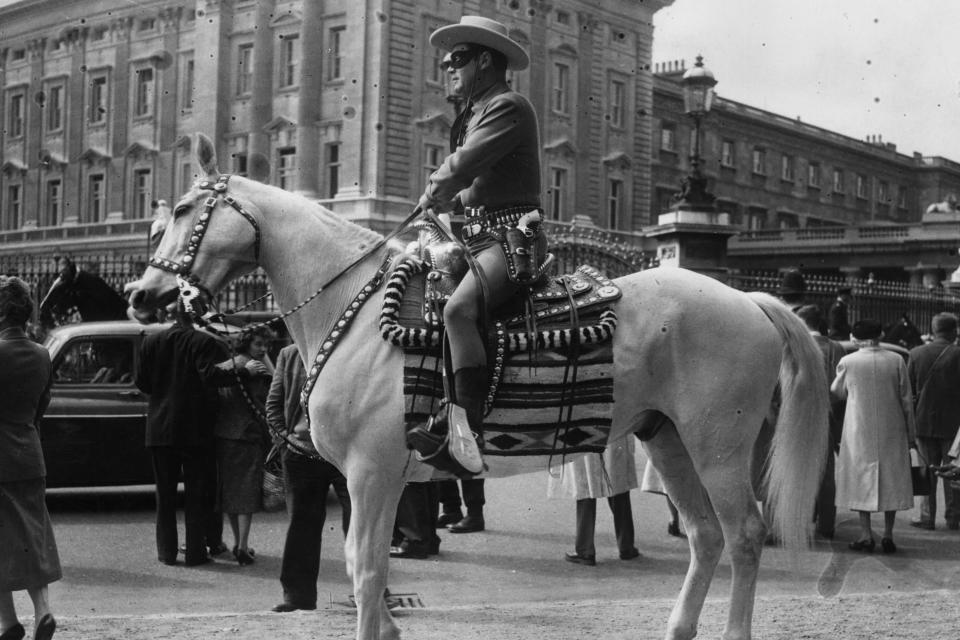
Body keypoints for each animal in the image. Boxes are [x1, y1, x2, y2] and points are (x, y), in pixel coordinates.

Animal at [127, 136, 828, 640]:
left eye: (183, 210)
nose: (140, 295)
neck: (354, 307)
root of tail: (747, 298)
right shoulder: (366, 479)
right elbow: (365, 569)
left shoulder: (372, 472)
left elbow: (366, 570)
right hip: (668, 439)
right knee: (706, 537)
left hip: (718, 449)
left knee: (742, 536)